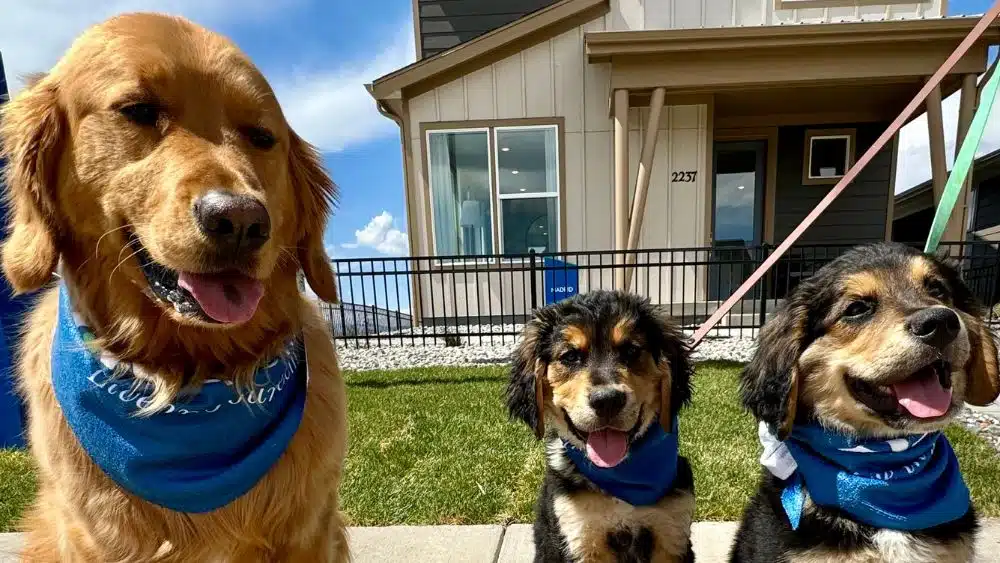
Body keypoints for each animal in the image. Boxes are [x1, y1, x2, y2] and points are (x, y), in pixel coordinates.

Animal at [508, 294, 696, 560]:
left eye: (631, 350)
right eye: (570, 356)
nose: (607, 400)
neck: (620, 478)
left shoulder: (671, 533)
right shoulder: (581, 534)